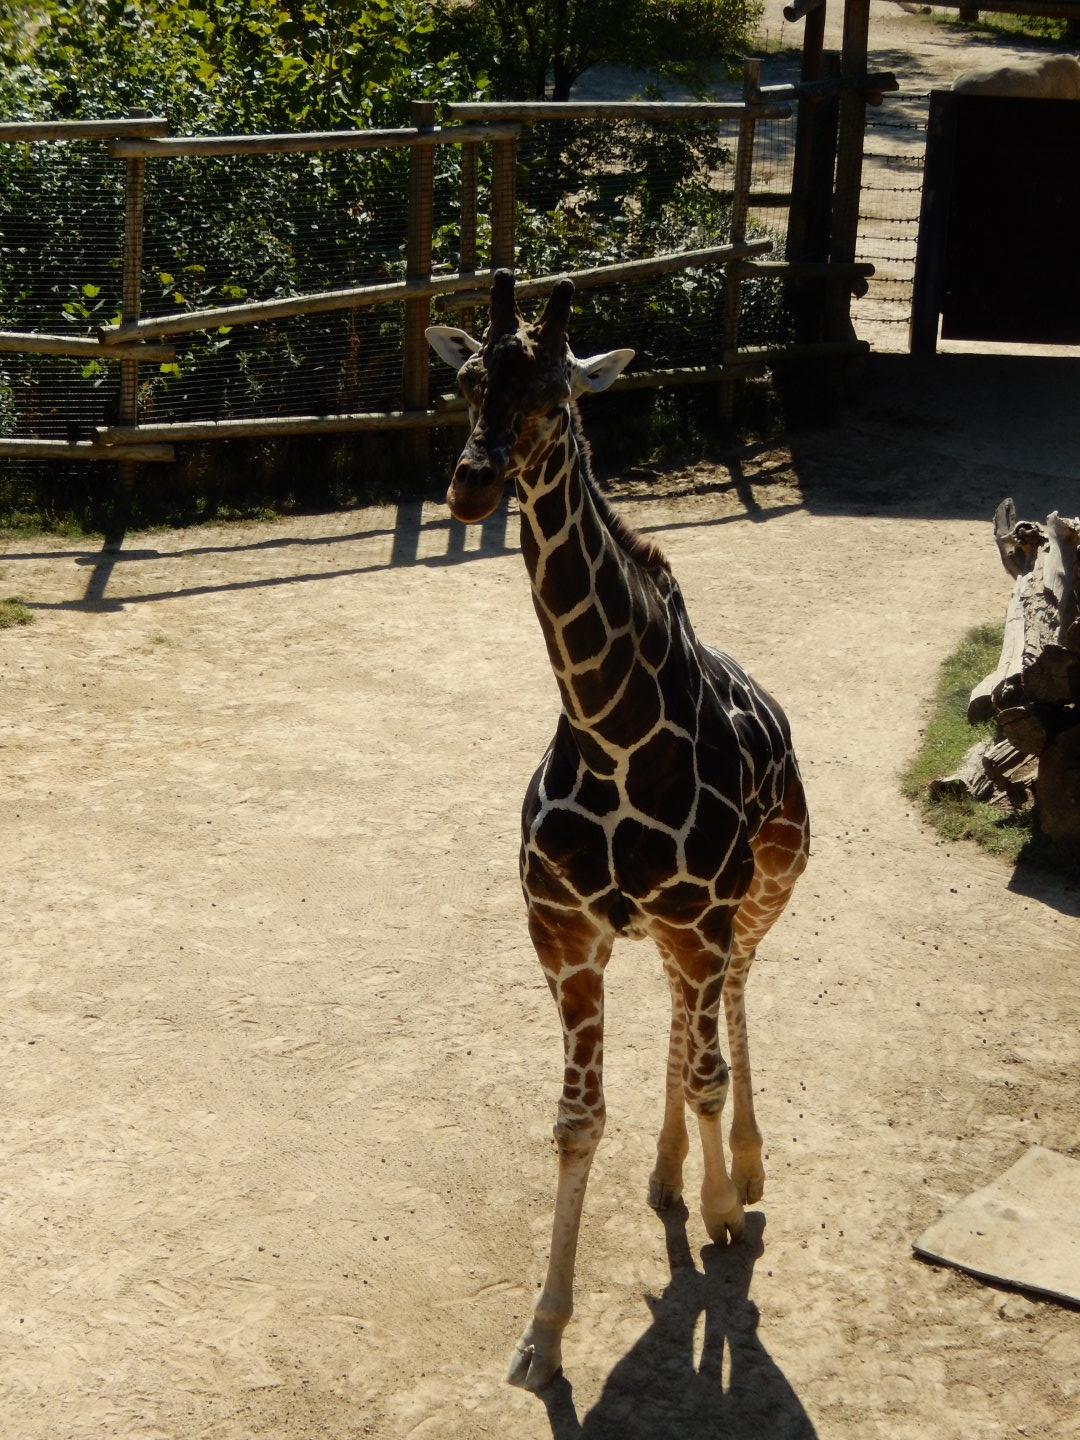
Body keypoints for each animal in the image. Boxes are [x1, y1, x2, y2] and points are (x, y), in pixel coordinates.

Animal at [426, 270, 809, 1393]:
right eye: (468, 380)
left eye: (561, 394)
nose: (471, 487)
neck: (612, 731)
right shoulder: (565, 935)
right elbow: (574, 1121)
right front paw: (542, 1337)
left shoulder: (705, 917)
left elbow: (708, 1069)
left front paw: (726, 1210)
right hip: (679, 932)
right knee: (684, 1019)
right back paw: (673, 1175)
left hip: (761, 895)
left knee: (726, 1010)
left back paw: (741, 1173)